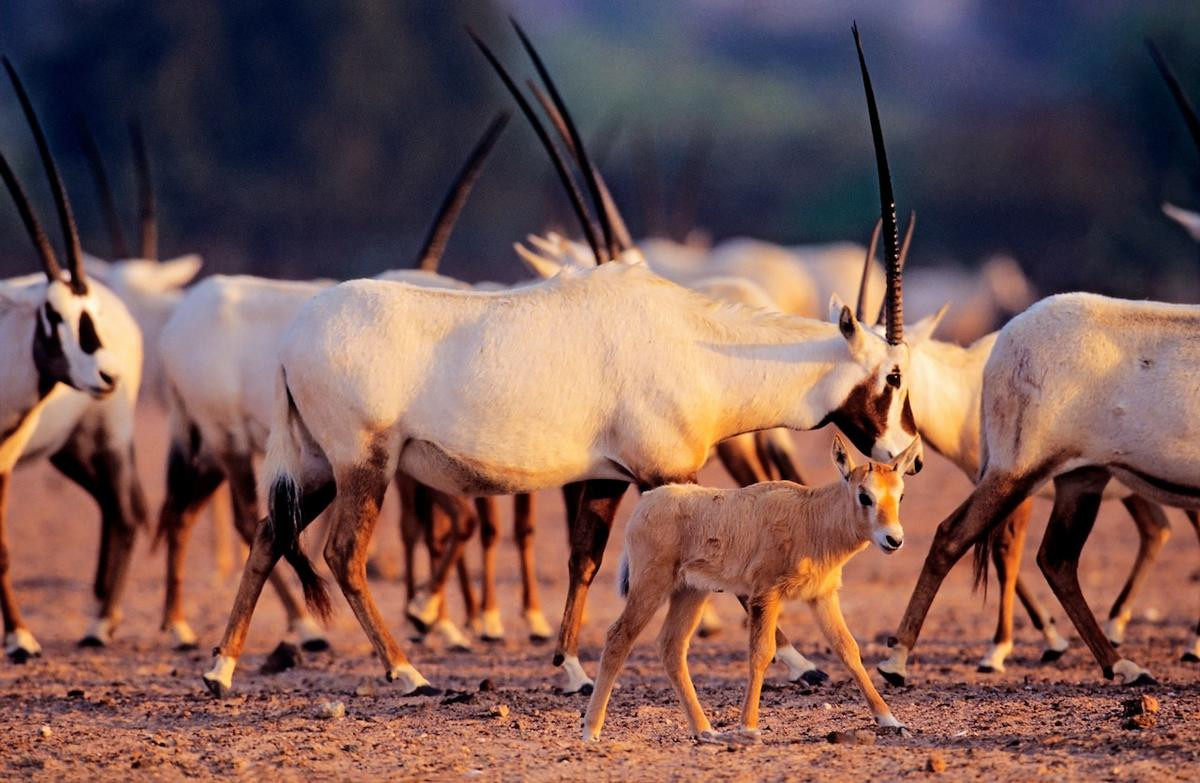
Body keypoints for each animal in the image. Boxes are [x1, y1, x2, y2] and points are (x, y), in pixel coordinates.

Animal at [583, 434, 916, 744]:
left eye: (900, 495)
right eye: (864, 495)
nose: (894, 539)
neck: (811, 516)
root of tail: (646, 503)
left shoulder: (822, 597)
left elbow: (848, 649)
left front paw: (891, 720)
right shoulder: (766, 595)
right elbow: (762, 653)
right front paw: (748, 726)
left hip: (690, 592)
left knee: (671, 646)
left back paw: (704, 730)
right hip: (651, 585)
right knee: (618, 637)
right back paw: (591, 731)